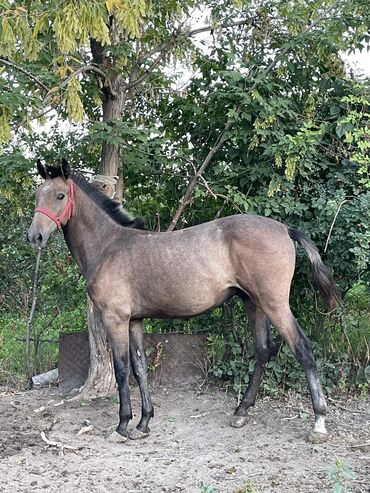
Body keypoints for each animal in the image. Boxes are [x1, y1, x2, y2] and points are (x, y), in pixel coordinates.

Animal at [26, 160, 342, 444]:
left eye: (60, 195)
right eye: (37, 195)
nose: (34, 236)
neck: (108, 245)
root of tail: (285, 229)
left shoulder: (115, 319)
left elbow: (122, 369)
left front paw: (122, 425)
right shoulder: (135, 321)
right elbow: (140, 368)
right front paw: (144, 423)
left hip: (275, 304)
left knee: (302, 349)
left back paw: (318, 423)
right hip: (255, 304)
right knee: (264, 351)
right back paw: (241, 411)